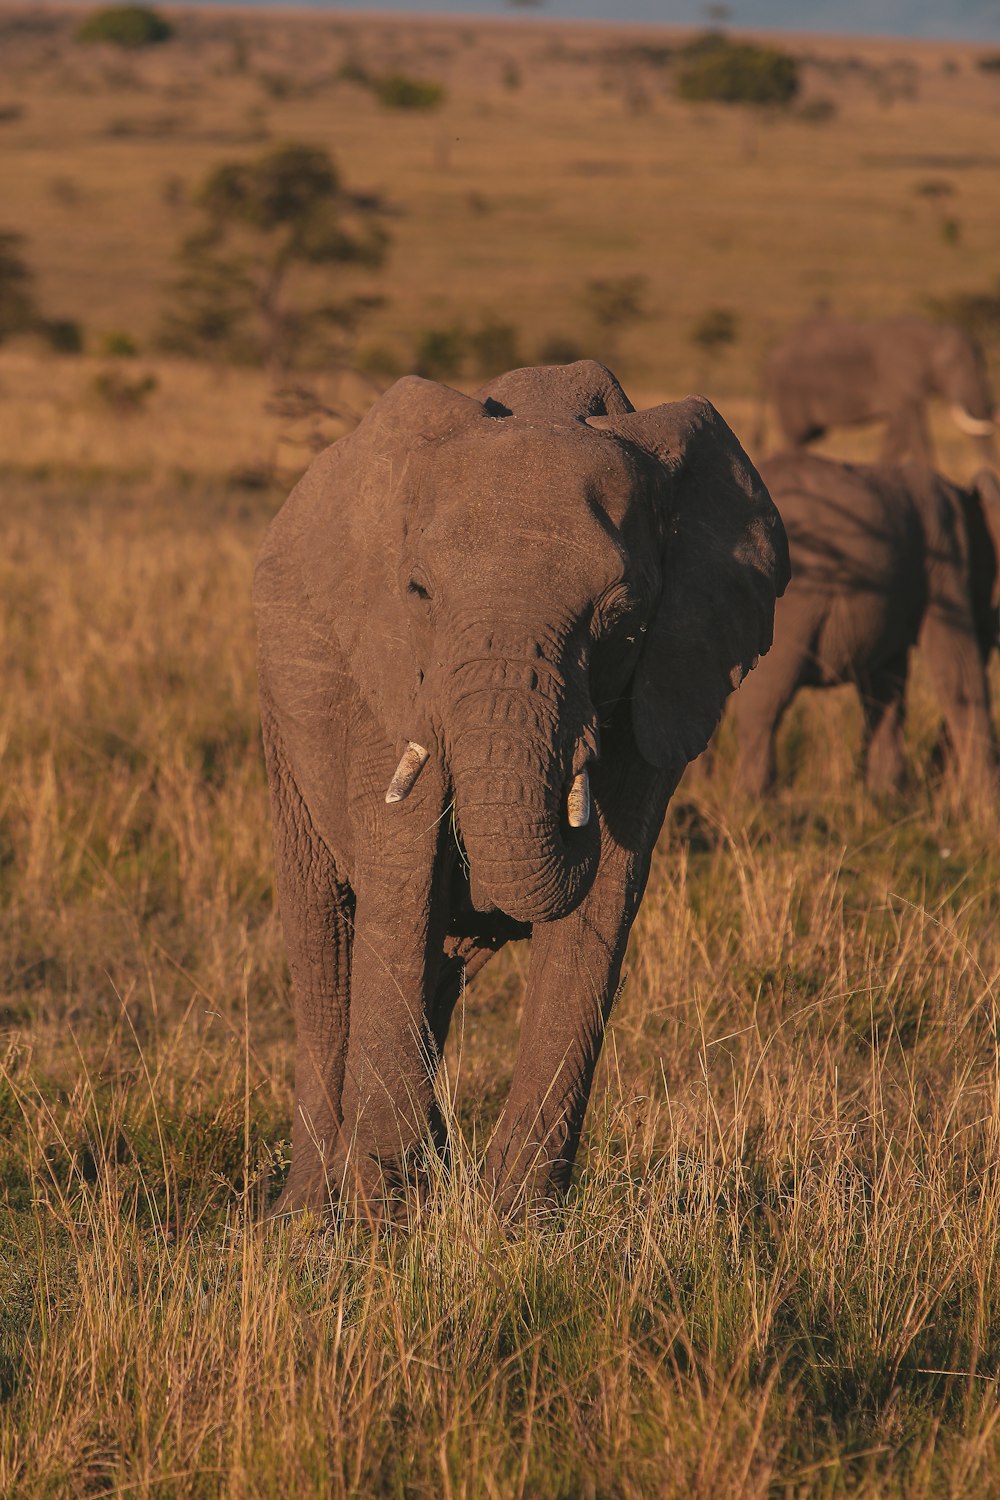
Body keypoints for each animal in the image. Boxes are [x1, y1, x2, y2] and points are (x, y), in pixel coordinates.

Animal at [251, 363, 791, 1218]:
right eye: (419, 593)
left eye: (620, 614)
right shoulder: (386, 675)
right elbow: (401, 887)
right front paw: (382, 1217)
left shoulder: (667, 681)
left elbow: (602, 905)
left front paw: (516, 1218)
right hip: (282, 710)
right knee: (326, 937)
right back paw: (307, 1215)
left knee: (446, 963)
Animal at [728, 450, 1000, 798]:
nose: (934, 782)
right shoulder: (945, 563)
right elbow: (959, 668)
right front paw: (986, 803)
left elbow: (887, 684)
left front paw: (886, 796)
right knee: (765, 700)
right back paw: (758, 799)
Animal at [761, 312, 995, 462]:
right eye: (951, 364)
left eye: (983, 362)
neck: (932, 332)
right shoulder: (897, 379)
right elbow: (915, 433)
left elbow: (897, 434)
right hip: (788, 393)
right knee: (795, 438)